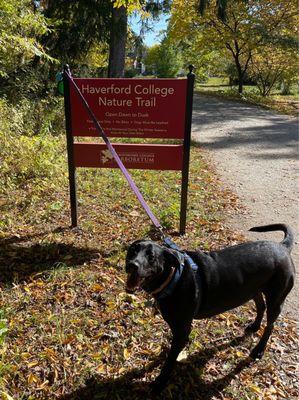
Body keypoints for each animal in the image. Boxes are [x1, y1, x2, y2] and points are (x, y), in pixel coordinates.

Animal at [125, 223, 296, 392]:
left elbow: (170, 360)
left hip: (276, 299)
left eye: (151, 257)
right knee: (261, 307)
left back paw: (259, 349)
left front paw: (160, 382)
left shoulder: (182, 329)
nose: (132, 265)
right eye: (132, 250)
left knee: (270, 325)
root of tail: (282, 247)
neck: (174, 278)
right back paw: (255, 326)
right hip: (253, 290)